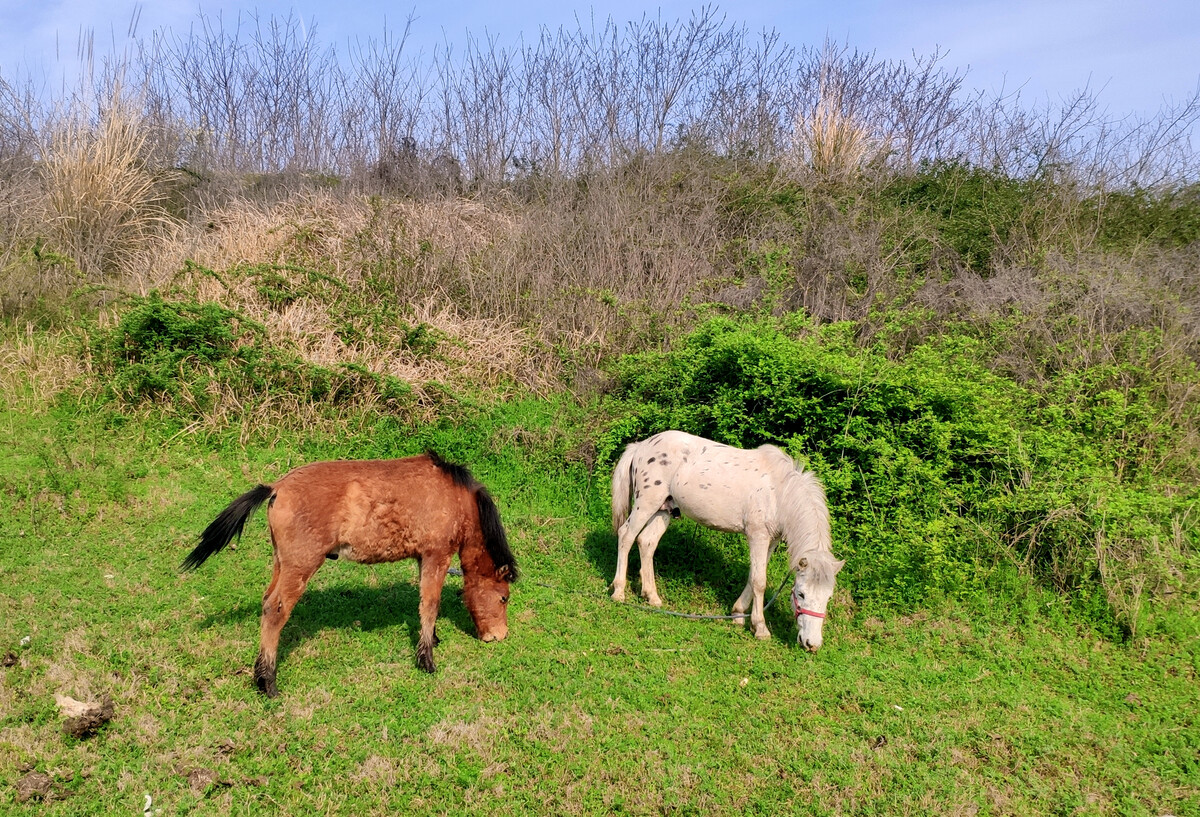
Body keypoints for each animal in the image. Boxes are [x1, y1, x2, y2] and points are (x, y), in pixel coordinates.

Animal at [181, 453, 516, 695]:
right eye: (503, 598)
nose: (498, 636)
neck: (454, 495)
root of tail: (276, 489)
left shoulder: (423, 559)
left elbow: (423, 604)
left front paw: (431, 640)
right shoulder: (437, 556)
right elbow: (431, 605)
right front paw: (427, 661)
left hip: (281, 563)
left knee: (266, 603)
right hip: (300, 566)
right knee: (276, 610)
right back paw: (268, 682)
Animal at [609, 427, 844, 647]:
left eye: (828, 597)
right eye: (801, 594)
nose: (811, 644)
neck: (779, 492)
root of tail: (641, 446)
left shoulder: (771, 542)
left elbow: (753, 576)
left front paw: (739, 615)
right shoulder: (757, 536)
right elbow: (759, 581)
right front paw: (760, 628)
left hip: (663, 510)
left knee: (646, 542)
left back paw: (652, 597)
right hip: (646, 504)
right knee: (626, 536)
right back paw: (619, 592)